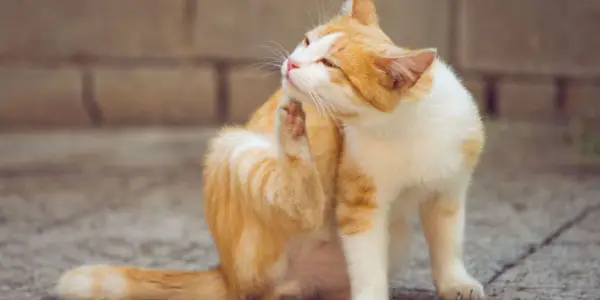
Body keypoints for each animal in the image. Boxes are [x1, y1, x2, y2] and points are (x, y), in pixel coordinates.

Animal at [55, 0, 488, 298]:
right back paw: (292, 130)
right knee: (303, 210)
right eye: (308, 41)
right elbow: (365, 262)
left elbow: (448, 241)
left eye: (330, 64)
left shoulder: (449, 192)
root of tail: (226, 272)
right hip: (234, 149)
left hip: (390, 243)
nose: (292, 65)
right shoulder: (359, 206)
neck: (403, 126)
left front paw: (456, 282)